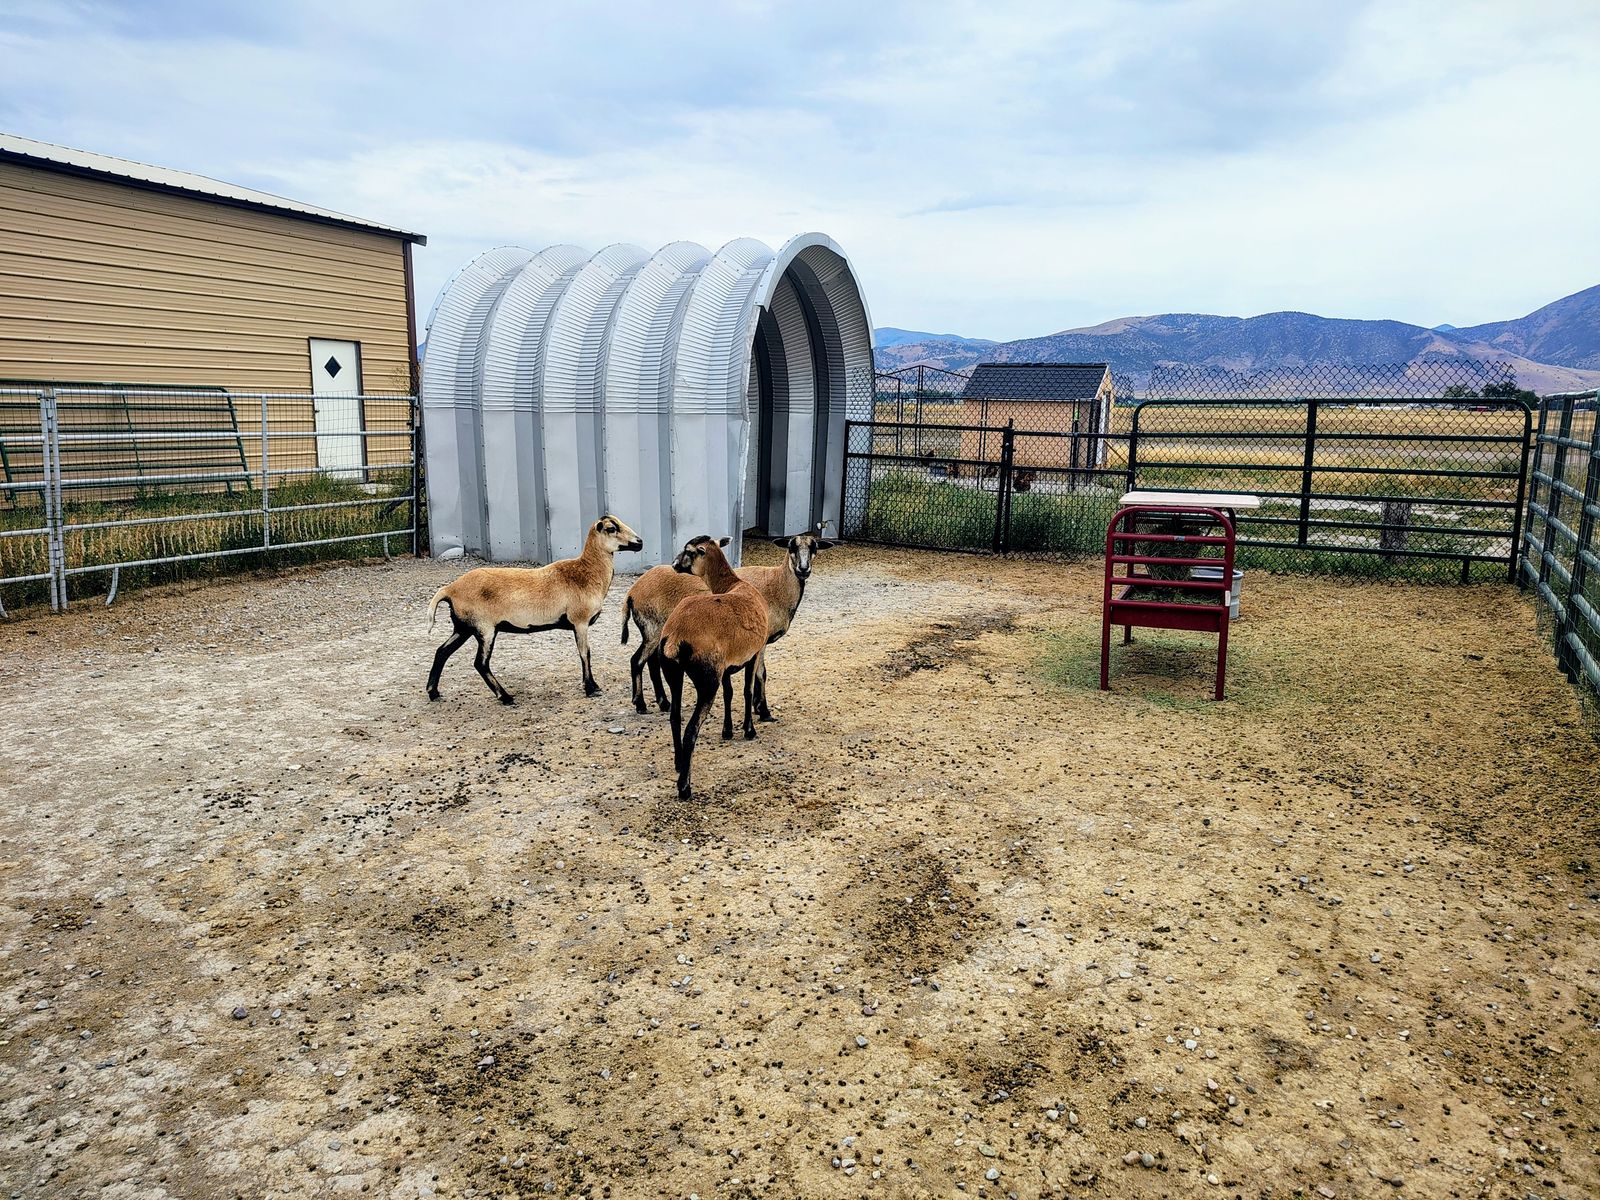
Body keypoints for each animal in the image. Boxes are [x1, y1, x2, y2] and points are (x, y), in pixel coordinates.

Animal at [425, 515, 643, 704]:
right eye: (611, 528)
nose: (639, 542)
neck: (586, 572)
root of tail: (450, 589)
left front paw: (591, 686)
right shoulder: (579, 621)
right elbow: (585, 653)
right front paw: (591, 688)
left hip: (464, 627)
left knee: (442, 651)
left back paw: (433, 692)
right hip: (484, 628)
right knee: (480, 663)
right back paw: (505, 697)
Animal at [619, 561, 711, 713]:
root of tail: (632, 593)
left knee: (652, 663)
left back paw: (663, 703)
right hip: (654, 630)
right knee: (637, 660)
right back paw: (641, 704)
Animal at [658, 536, 769, 800]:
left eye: (689, 551)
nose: (674, 564)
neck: (732, 585)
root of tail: (675, 635)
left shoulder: (727, 666)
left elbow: (729, 693)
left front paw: (727, 731)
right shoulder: (755, 652)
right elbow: (747, 691)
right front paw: (749, 730)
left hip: (674, 672)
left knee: (675, 717)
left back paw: (679, 763)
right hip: (707, 678)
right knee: (691, 729)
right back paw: (685, 787)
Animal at [734, 530, 835, 721]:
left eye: (814, 547)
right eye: (791, 547)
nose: (803, 569)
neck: (777, 583)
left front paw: (758, 707)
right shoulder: (762, 640)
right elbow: (761, 674)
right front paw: (764, 711)